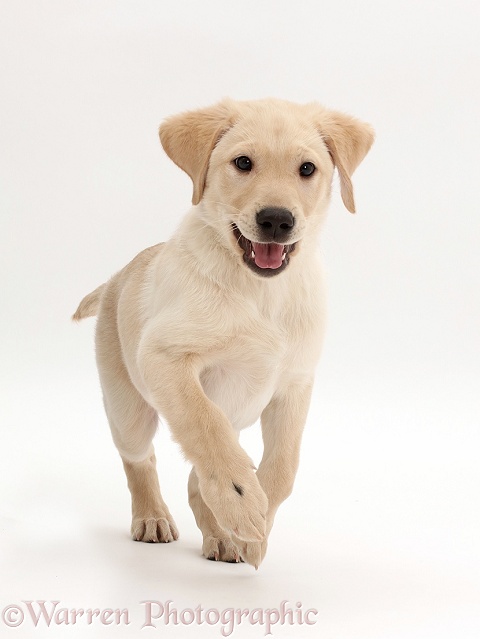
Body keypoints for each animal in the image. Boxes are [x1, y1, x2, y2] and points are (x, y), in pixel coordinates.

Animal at [73, 97, 376, 568]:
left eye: (307, 169)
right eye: (243, 163)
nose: (276, 220)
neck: (260, 291)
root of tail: (115, 279)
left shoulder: (295, 383)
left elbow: (284, 465)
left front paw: (255, 524)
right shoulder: (163, 355)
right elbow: (204, 423)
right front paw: (240, 500)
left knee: (196, 481)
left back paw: (222, 535)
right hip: (127, 408)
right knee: (140, 458)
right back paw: (154, 517)